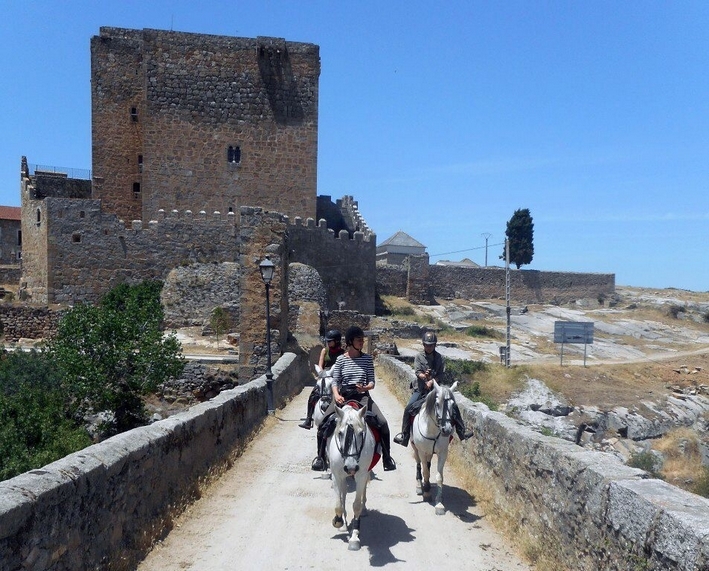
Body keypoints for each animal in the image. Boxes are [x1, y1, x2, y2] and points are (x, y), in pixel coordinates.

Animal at [328, 404, 378, 552]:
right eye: (340, 433)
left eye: (361, 433)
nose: (351, 467)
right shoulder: (336, 476)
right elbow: (339, 504)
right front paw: (338, 521)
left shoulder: (361, 475)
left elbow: (356, 505)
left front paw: (355, 537)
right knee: (343, 494)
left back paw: (364, 510)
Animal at [412, 382, 456, 516]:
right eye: (437, 404)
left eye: (453, 405)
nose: (447, 429)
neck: (431, 430)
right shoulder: (422, 451)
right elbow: (425, 472)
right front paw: (426, 492)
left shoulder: (443, 453)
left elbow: (439, 477)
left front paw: (439, 503)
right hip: (415, 447)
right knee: (419, 464)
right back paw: (419, 486)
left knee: (427, 463)